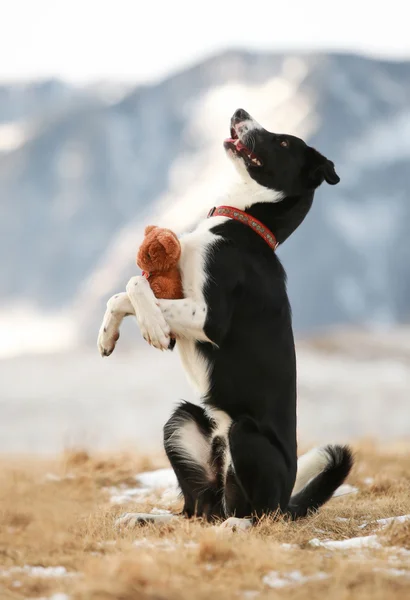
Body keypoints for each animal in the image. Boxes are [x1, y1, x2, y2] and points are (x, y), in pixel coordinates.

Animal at [97, 108, 352, 528]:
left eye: (283, 141)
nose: (239, 112)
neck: (242, 221)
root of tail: (288, 500)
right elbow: (124, 292)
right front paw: (107, 336)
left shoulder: (208, 317)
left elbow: (136, 284)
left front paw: (151, 327)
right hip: (180, 421)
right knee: (197, 511)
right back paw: (144, 517)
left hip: (246, 437)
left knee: (258, 513)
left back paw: (239, 526)